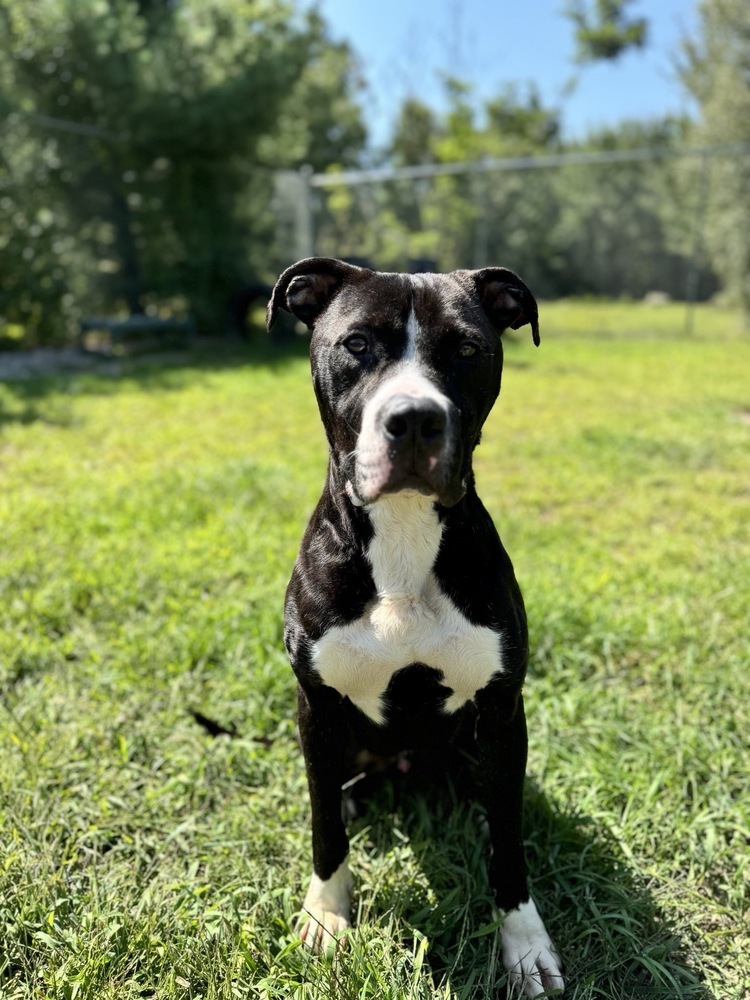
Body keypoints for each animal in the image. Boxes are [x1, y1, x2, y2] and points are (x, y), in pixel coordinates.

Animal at [268, 260, 568, 1000]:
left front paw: (524, 943)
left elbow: (509, 845)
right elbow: (323, 828)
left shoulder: (502, 708)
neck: (403, 531)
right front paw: (326, 914)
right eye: (356, 345)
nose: (411, 419)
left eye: (465, 348)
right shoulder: (316, 705)